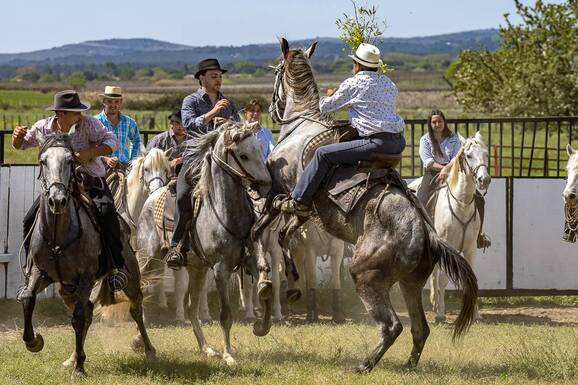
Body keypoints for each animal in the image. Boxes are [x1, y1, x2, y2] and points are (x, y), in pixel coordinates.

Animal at [17, 130, 155, 376]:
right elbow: (27, 298)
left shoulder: (86, 278)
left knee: (135, 307)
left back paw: (148, 349)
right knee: (89, 310)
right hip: (67, 289)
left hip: (129, 276)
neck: (58, 235)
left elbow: (79, 318)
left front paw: (80, 367)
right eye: (43, 161)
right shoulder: (40, 272)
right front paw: (34, 341)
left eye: (70, 161)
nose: (57, 200)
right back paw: (72, 357)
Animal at [136, 121, 272, 366]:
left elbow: (266, 287)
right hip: (147, 258)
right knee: (139, 292)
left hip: (196, 268)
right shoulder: (220, 269)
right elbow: (226, 315)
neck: (225, 210)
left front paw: (261, 327)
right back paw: (140, 341)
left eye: (259, 148)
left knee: (191, 307)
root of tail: (154, 194)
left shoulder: (251, 261)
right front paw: (229, 355)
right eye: (244, 155)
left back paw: (207, 348)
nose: (267, 184)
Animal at [410, 132, 490, 320]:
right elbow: (443, 280)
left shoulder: (470, 249)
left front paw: (476, 315)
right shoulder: (448, 246)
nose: (484, 180)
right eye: (468, 156)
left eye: (486, 154)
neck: (461, 205)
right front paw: (440, 314)